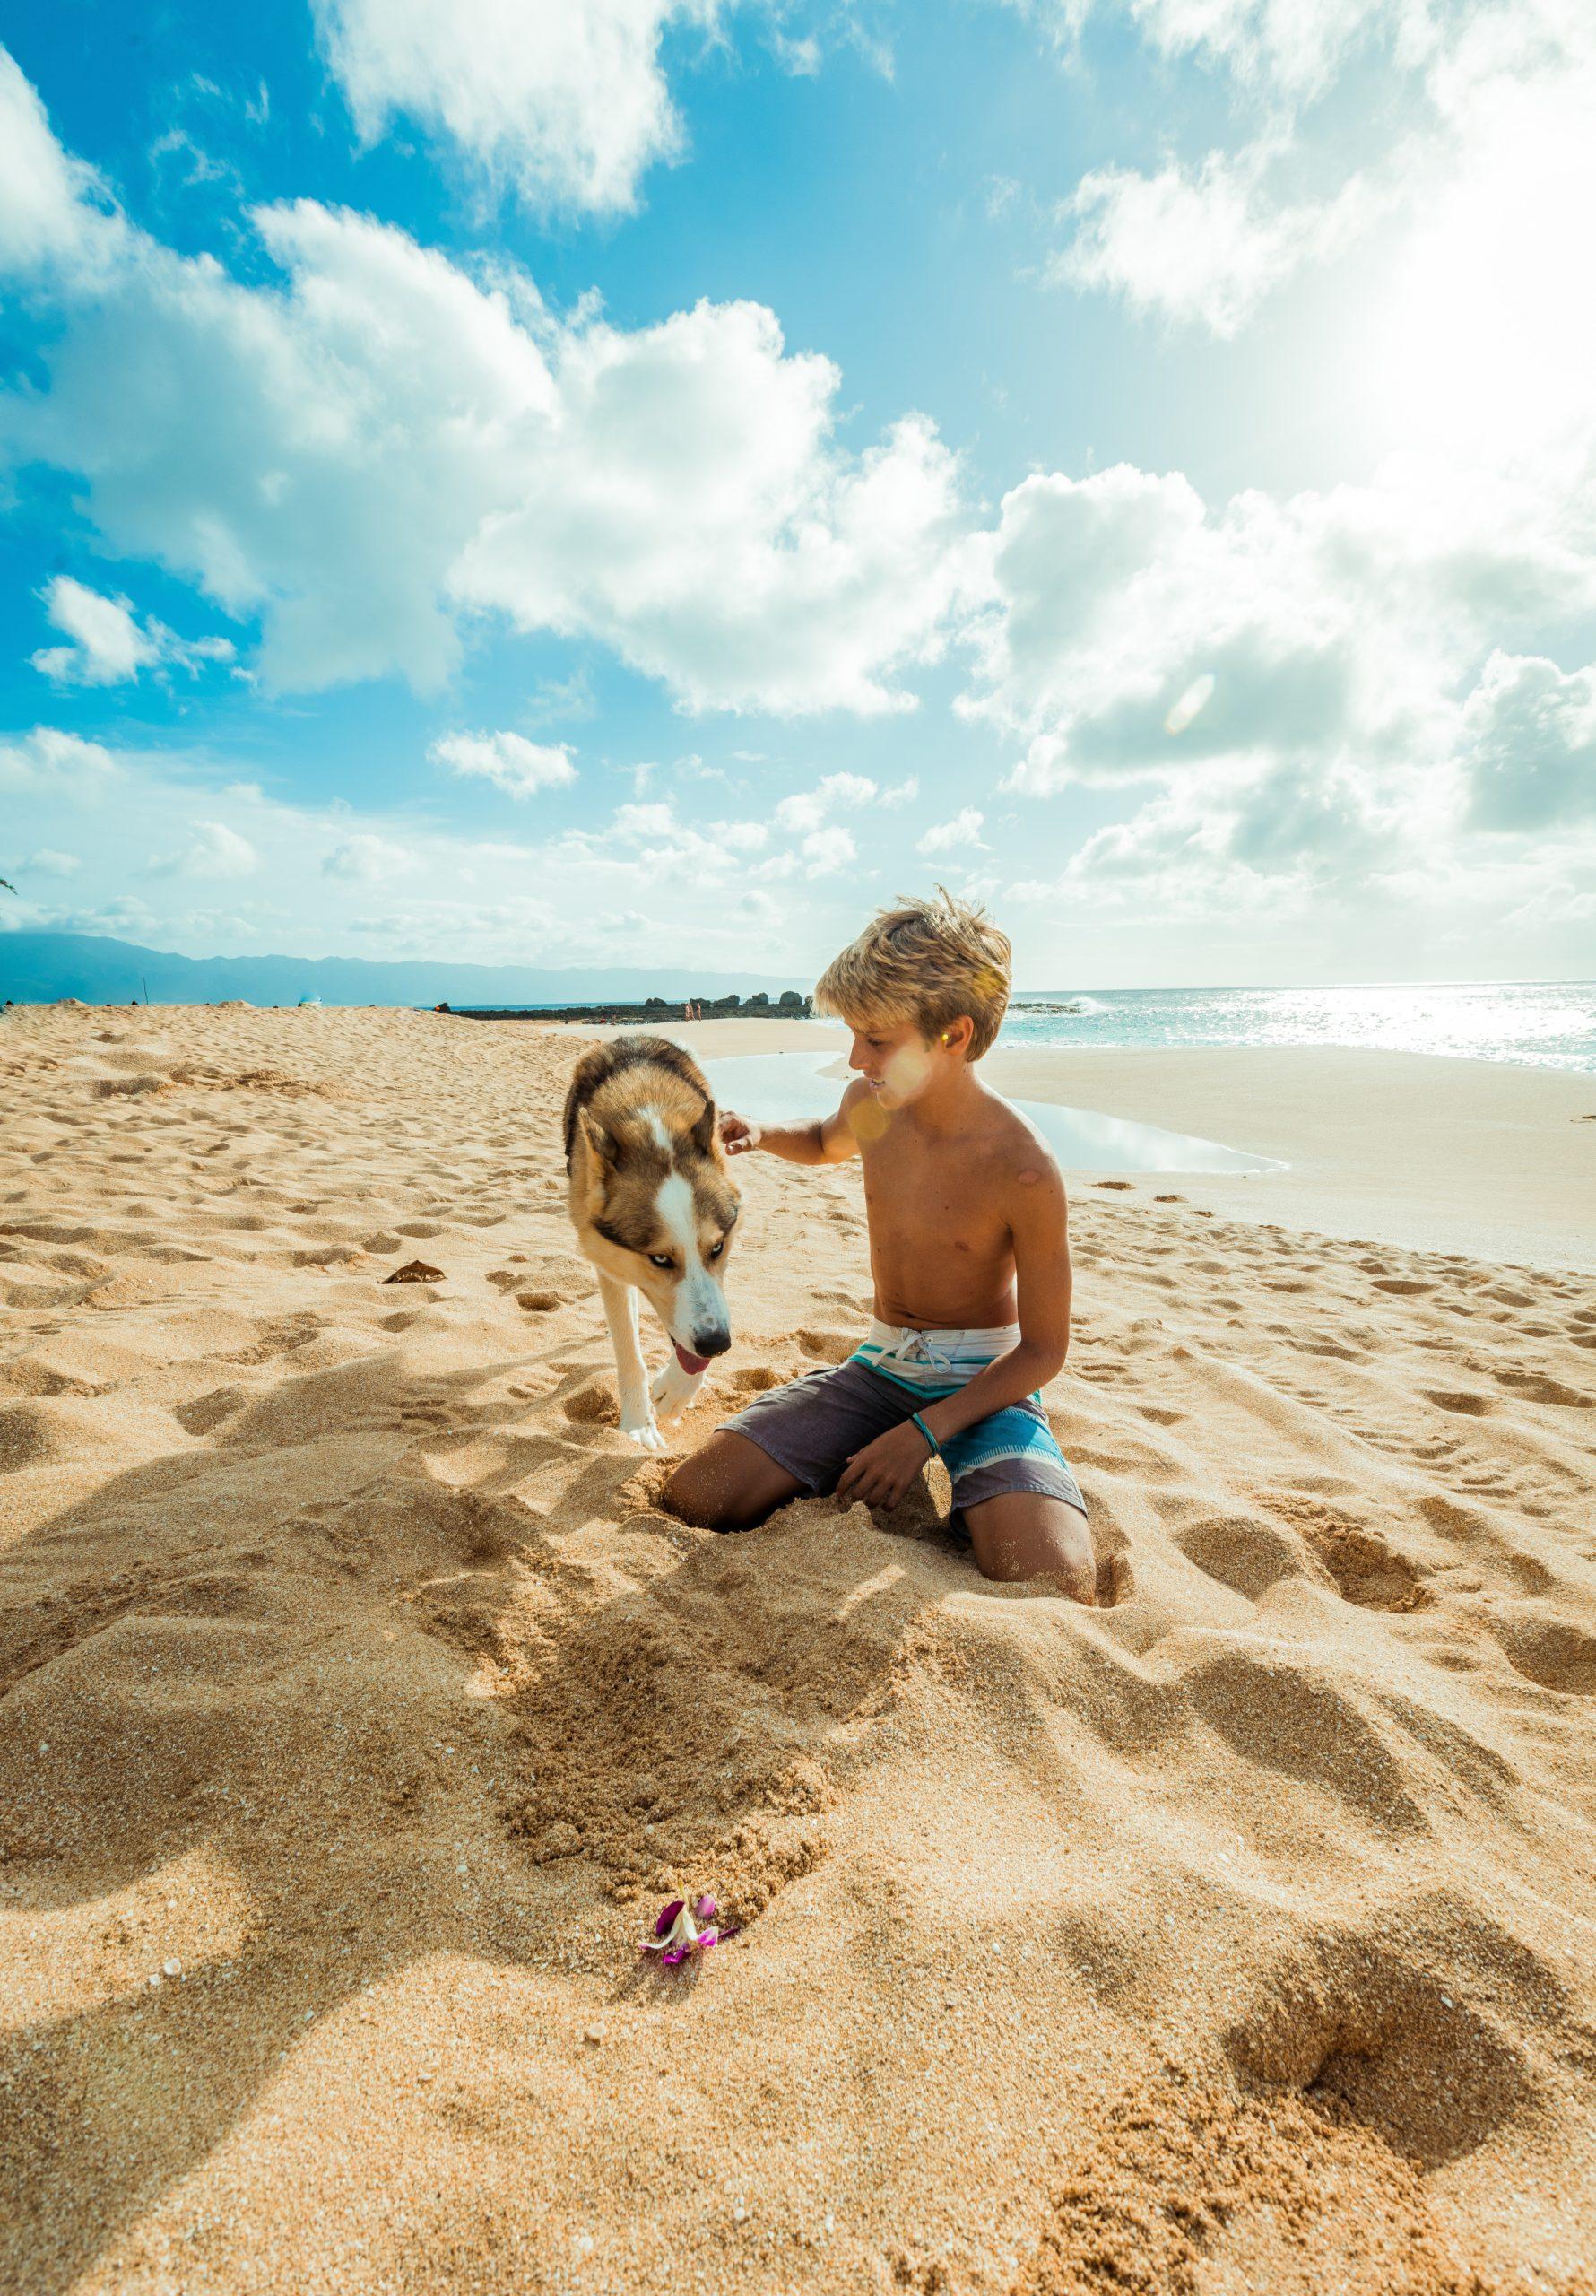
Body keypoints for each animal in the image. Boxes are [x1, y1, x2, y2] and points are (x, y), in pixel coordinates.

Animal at [562, 1042, 743, 1450]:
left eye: (717, 1248)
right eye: (660, 1258)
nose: (718, 1345)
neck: (651, 1120)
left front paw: (677, 1391)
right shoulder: (609, 1263)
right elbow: (629, 1353)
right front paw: (637, 1423)